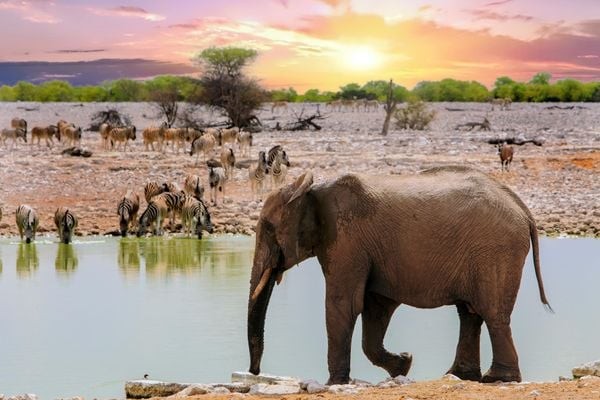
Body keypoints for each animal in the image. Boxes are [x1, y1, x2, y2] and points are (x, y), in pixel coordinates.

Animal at [246, 166, 552, 384]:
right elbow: (375, 307)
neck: (309, 189)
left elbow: (344, 305)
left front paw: (335, 383)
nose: (254, 372)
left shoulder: (346, 240)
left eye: (269, 228)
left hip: (495, 251)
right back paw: (460, 376)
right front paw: (404, 364)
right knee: (469, 313)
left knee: (491, 313)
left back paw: (497, 379)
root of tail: (523, 209)